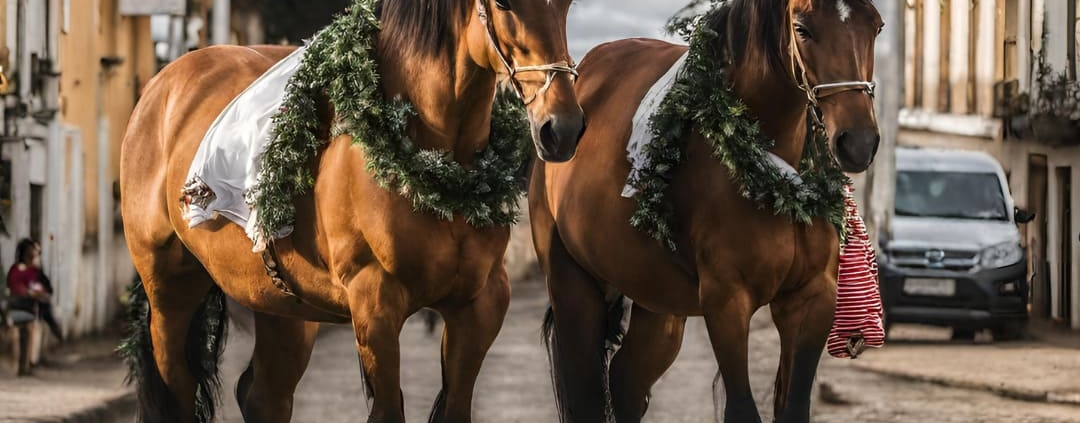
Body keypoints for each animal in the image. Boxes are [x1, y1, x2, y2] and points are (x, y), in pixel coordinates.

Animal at [118, 0, 583, 418]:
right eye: (503, 4)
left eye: (566, 3)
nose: (562, 128)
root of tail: (160, 87)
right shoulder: (375, 304)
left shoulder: (480, 305)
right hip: (169, 289)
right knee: (177, 388)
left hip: (282, 306)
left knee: (264, 396)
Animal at [531, 0, 876, 423]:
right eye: (802, 29)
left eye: (875, 26)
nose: (858, 141)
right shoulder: (726, 302)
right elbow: (741, 408)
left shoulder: (813, 298)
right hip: (574, 286)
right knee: (587, 396)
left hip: (658, 302)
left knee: (626, 383)